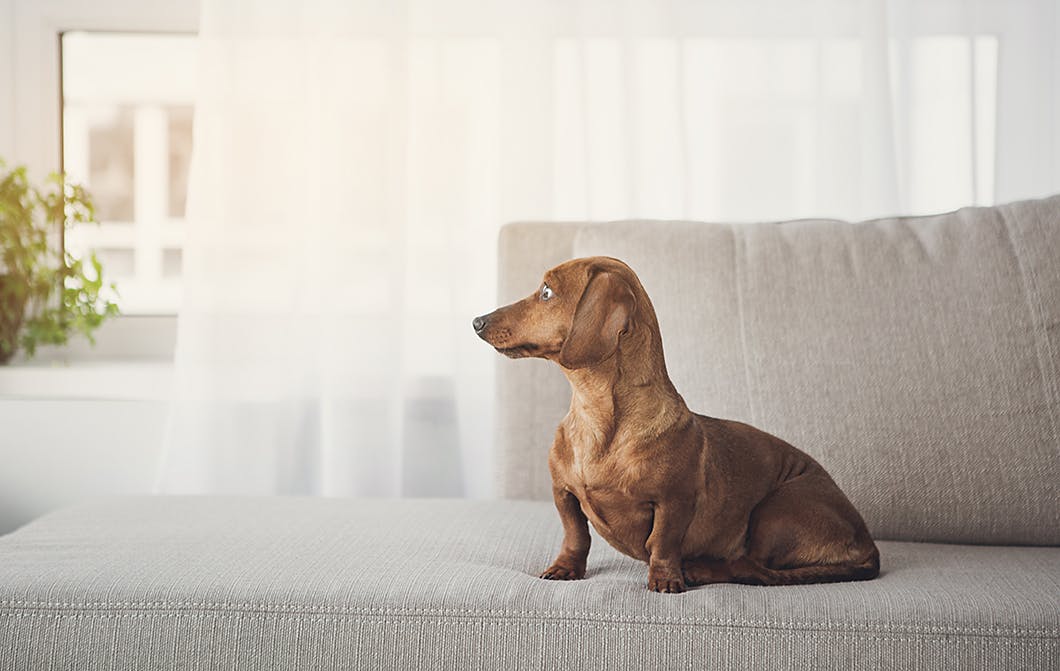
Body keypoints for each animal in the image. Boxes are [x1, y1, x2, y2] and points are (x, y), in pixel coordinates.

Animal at [476, 253, 881, 589]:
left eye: (546, 291)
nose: (477, 321)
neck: (600, 423)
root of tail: (870, 546)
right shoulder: (564, 494)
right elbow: (575, 536)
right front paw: (564, 569)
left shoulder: (674, 502)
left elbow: (662, 542)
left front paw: (665, 579)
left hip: (777, 509)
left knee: (751, 567)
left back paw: (700, 569)